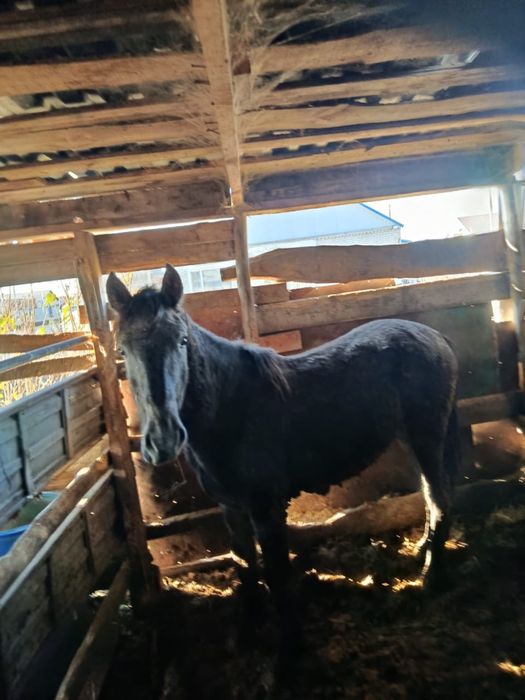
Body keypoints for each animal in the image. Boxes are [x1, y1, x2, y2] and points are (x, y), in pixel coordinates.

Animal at [107, 264, 460, 651]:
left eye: (182, 342)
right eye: (122, 350)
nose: (163, 440)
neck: (232, 410)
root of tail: (435, 336)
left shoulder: (268, 509)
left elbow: (276, 574)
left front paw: (291, 647)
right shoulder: (232, 509)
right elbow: (245, 567)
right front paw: (247, 633)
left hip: (427, 435)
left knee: (439, 498)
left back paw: (430, 577)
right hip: (410, 439)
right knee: (429, 493)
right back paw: (422, 552)